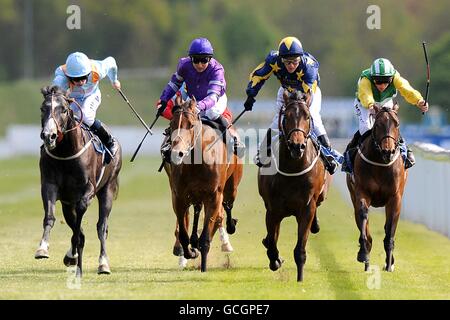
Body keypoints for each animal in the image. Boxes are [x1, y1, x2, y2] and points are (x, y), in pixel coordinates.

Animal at [35, 85, 122, 278]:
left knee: (102, 227)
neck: (65, 154)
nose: (49, 136)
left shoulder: (88, 190)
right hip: (68, 204)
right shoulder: (50, 185)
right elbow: (51, 217)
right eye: (43, 108)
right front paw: (43, 248)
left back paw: (103, 263)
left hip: (108, 189)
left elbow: (80, 226)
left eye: (63, 109)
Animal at [163, 95, 243, 272]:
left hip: (231, 188)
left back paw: (229, 231)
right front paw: (188, 252)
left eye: (191, 125)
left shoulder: (213, 195)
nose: (176, 154)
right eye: (172, 125)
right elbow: (183, 231)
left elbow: (206, 235)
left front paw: (203, 265)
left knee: (225, 209)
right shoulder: (179, 195)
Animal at [256, 89, 330, 280]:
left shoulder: (307, 208)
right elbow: (272, 242)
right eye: (286, 116)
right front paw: (275, 259)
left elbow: (300, 250)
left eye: (307, 116)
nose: (297, 146)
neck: (293, 169)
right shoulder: (272, 209)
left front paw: (300, 278)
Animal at [346, 104, 406, 272]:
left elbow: (390, 229)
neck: (381, 164)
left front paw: (389, 263)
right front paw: (364, 253)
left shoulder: (395, 198)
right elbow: (363, 216)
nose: (388, 151)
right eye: (378, 124)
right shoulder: (362, 192)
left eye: (397, 124)